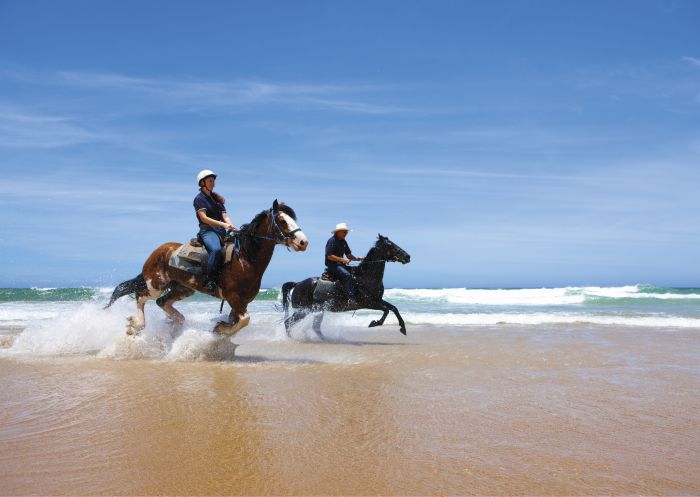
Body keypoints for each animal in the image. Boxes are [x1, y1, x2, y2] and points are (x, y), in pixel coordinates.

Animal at [105, 200, 308, 336]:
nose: (303, 242)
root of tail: (158, 251)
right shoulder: (233, 297)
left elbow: (240, 321)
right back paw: (136, 325)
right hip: (156, 284)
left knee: (162, 302)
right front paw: (221, 329)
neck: (244, 259)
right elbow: (245, 320)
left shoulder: (242, 302)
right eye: (282, 220)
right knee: (141, 297)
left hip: (183, 288)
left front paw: (221, 329)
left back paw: (177, 323)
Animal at [280, 233, 410, 338]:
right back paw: (291, 338)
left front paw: (403, 328)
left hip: (317, 310)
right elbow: (386, 310)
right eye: (390, 245)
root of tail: (297, 284)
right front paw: (374, 323)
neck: (366, 276)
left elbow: (393, 308)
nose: (408, 257)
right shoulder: (368, 302)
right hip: (304, 310)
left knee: (314, 327)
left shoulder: (377, 300)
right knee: (288, 322)